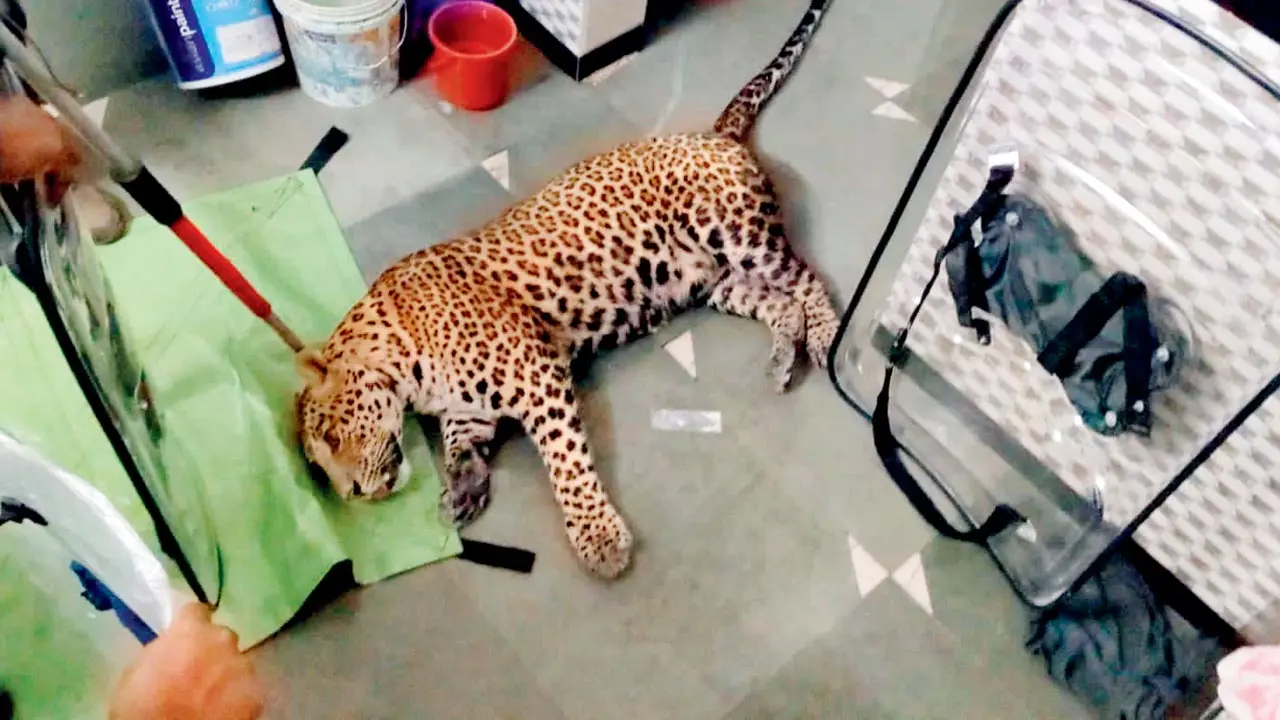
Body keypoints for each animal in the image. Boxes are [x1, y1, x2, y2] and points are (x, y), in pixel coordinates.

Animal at [295, 0, 840, 579]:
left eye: (332, 438)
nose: (355, 494)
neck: (405, 366)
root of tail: (714, 135)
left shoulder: (537, 372)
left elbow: (565, 457)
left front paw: (598, 537)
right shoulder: (469, 410)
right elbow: (459, 446)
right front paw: (463, 489)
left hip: (739, 236)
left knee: (808, 279)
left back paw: (826, 343)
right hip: (716, 282)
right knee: (782, 303)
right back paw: (782, 360)